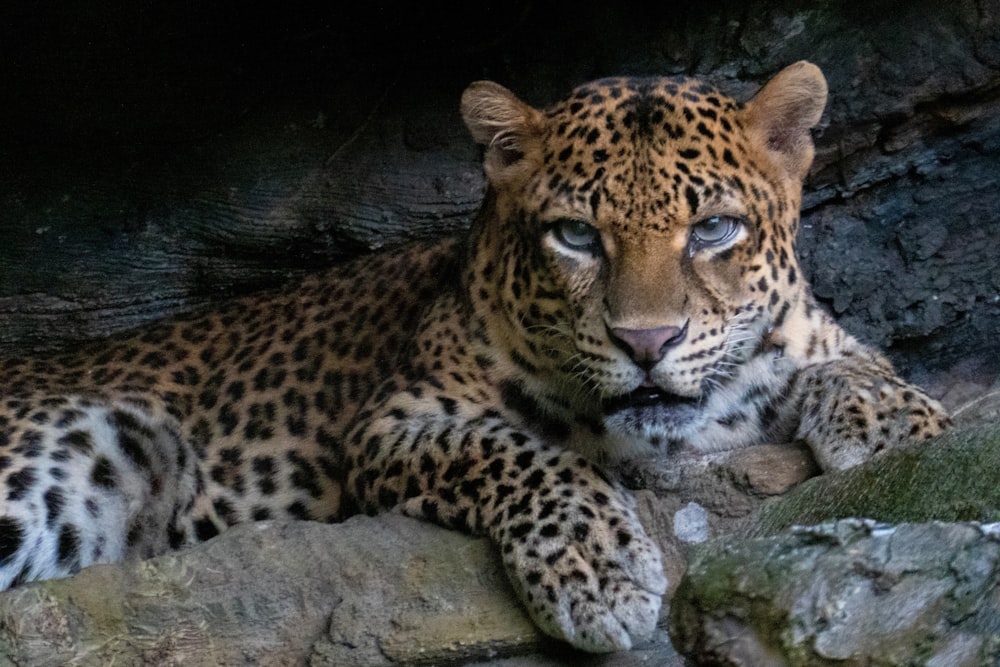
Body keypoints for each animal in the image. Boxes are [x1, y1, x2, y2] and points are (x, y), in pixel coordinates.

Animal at [0, 62, 944, 652]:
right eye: (576, 236)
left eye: (713, 228)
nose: (645, 343)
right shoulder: (391, 426)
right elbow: (515, 451)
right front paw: (599, 570)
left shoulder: (806, 339)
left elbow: (850, 359)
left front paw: (900, 425)